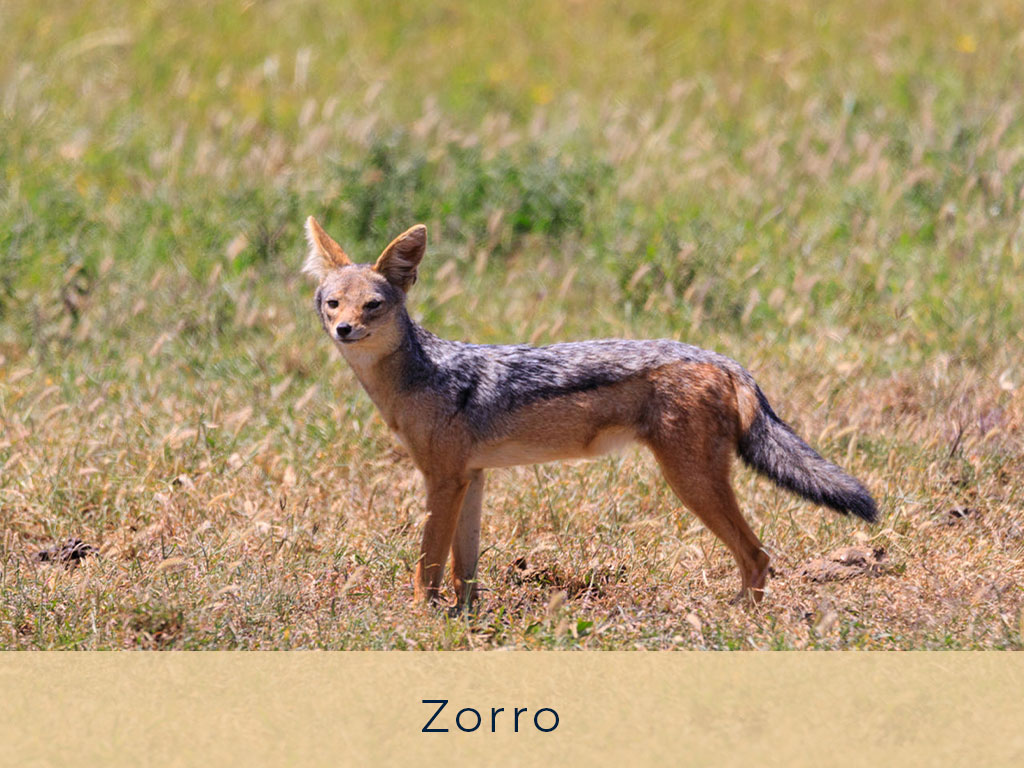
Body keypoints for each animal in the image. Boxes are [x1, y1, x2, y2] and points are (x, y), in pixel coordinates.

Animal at [301, 215, 878, 608]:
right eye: (333, 303)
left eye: (373, 306)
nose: (344, 329)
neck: (419, 378)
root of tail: (721, 358)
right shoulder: (471, 478)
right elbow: (465, 569)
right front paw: (463, 620)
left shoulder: (442, 481)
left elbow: (427, 568)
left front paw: (421, 621)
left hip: (690, 482)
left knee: (757, 556)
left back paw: (740, 623)